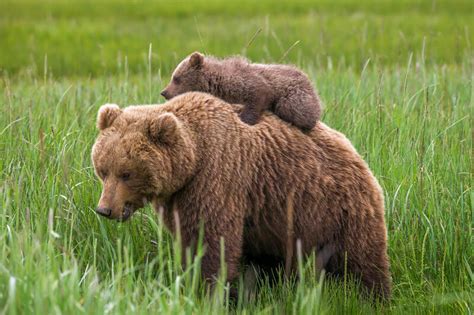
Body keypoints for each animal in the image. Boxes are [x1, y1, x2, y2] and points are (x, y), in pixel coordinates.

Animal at [90, 92, 390, 300]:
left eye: (126, 173)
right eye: (103, 170)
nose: (105, 209)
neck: (192, 160)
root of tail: (357, 154)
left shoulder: (217, 179)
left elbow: (213, 241)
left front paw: (208, 291)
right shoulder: (180, 198)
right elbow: (188, 240)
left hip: (340, 209)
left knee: (363, 259)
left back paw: (374, 297)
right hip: (279, 223)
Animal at [161, 52, 320, 131]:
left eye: (176, 78)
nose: (164, 92)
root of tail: (308, 79)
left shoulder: (249, 83)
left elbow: (258, 96)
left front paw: (245, 119)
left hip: (296, 95)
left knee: (293, 109)